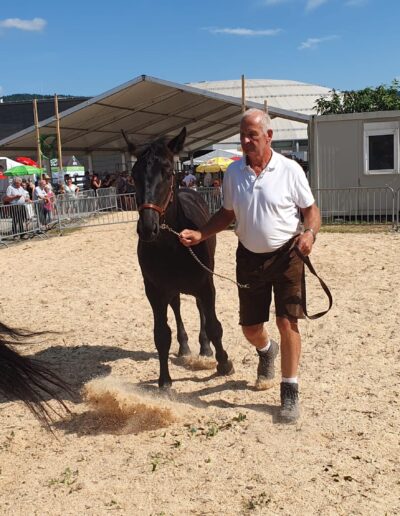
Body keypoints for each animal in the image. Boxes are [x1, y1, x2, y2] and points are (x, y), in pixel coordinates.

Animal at [123, 129, 233, 388]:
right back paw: (184, 346)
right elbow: (161, 334)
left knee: (200, 309)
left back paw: (205, 347)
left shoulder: (206, 285)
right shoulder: (154, 291)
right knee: (177, 306)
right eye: (133, 175)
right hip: (171, 290)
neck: (171, 246)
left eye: (167, 172)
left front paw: (223, 363)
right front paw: (164, 379)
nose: (148, 228)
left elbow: (214, 325)